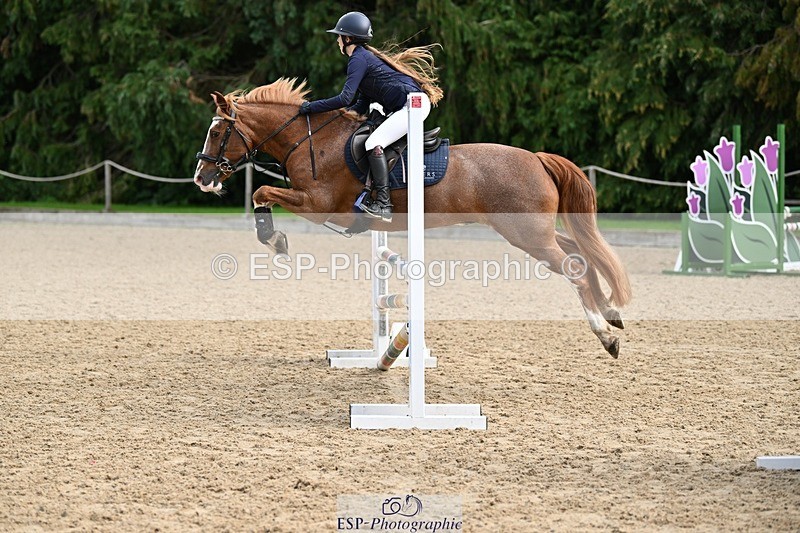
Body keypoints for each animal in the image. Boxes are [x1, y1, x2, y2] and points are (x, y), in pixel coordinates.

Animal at [193, 78, 632, 357]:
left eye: (216, 133)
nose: (201, 178)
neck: (311, 140)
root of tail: (538, 159)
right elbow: (262, 194)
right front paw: (276, 238)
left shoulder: (317, 205)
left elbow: (261, 193)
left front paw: (276, 240)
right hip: (534, 233)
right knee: (582, 254)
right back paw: (612, 312)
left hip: (527, 236)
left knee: (574, 267)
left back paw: (606, 336)